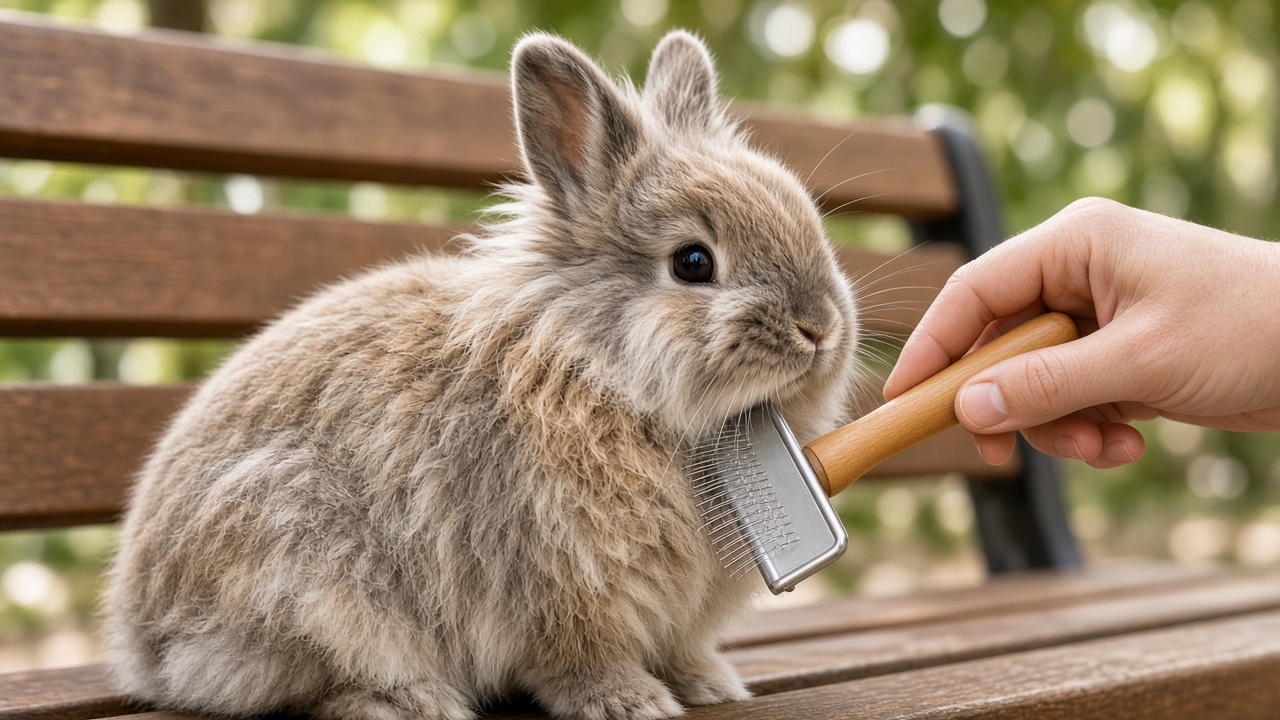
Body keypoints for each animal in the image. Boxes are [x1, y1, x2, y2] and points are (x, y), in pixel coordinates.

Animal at [102, 30, 860, 720]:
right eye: (693, 263)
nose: (820, 328)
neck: (599, 373)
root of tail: (144, 646)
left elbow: (681, 648)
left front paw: (709, 684)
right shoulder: (562, 590)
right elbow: (579, 658)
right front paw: (629, 701)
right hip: (303, 574)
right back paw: (410, 701)